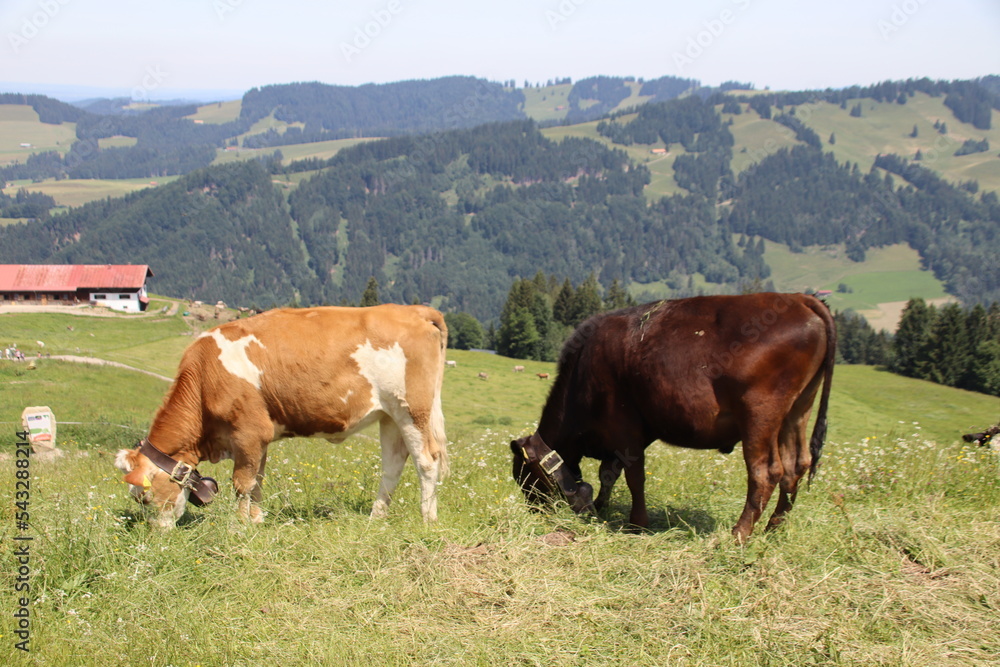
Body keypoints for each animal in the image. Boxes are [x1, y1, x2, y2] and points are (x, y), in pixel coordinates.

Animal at [115, 304, 449, 529]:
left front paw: (239, 526)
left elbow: (242, 483)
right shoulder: (258, 438)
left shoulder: (248, 432)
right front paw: (256, 520)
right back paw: (375, 517)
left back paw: (428, 519)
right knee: (392, 466)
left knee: (427, 461)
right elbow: (258, 480)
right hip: (389, 415)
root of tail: (414, 310)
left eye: (143, 498)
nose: (158, 532)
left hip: (413, 409)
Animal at [511, 293, 835, 543]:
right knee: (796, 466)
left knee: (765, 472)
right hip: (797, 411)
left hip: (760, 414)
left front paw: (637, 523)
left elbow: (633, 475)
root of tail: (800, 298)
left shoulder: (623, 426)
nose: (533, 511)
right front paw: (602, 507)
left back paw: (739, 534)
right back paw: (773, 529)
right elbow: (609, 473)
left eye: (523, 476)